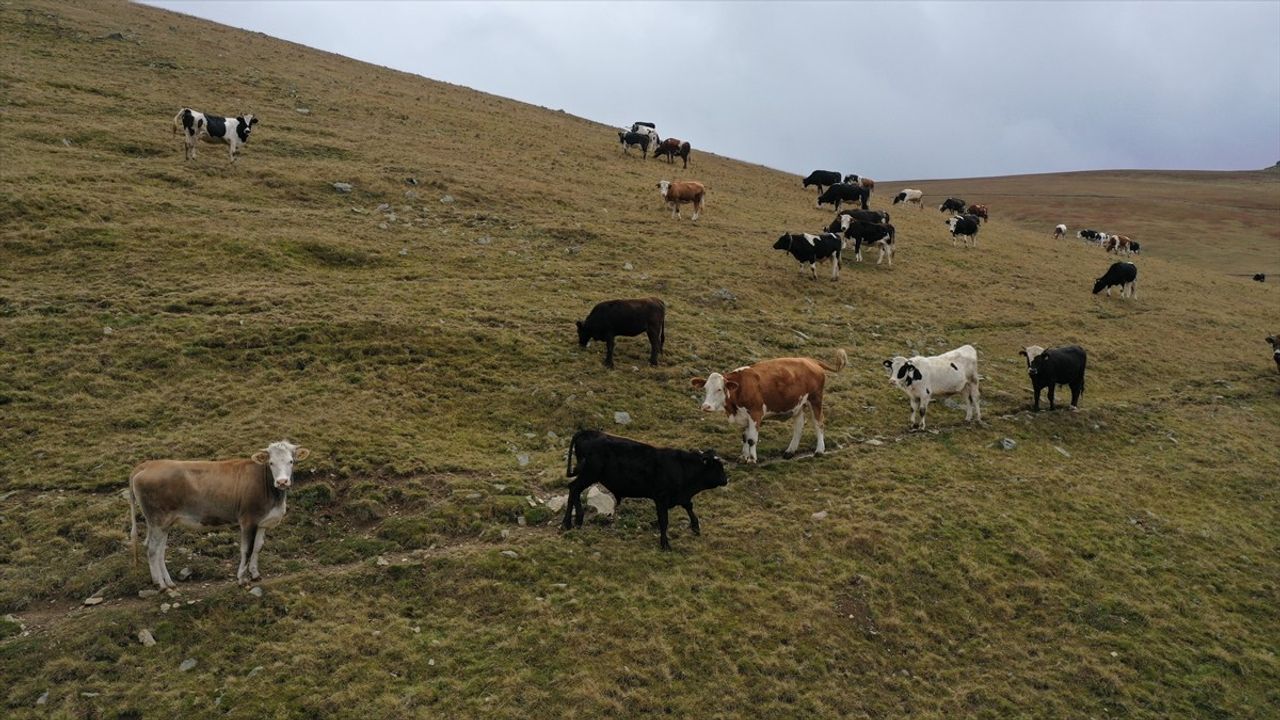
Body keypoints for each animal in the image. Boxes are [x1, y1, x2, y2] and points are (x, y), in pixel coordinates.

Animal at [128, 438, 311, 589]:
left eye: (291, 461)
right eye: (271, 463)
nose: (282, 482)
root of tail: (147, 465)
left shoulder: (262, 522)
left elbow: (258, 547)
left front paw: (255, 574)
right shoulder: (248, 520)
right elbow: (247, 549)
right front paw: (242, 579)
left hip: (163, 523)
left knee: (159, 550)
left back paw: (169, 583)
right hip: (157, 520)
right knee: (152, 549)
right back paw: (160, 585)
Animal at [563, 425, 732, 548]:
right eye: (717, 467)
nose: (725, 480)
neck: (682, 467)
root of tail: (587, 432)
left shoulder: (680, 496)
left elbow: (689, 507)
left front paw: (696, 527)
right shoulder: (661, 498)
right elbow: (664, 521)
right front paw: (665, 544)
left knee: (573, 489)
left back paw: (572, 521)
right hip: (589, 474)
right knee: (574, 489)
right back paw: (572, 521)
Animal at [691, 351, 849, 461]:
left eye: (719, 389)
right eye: (705, 388)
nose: (706, 406)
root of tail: (810, 360)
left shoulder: (755, 413)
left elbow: (752, 439)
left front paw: (752, 459)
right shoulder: (744, 416)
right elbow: (744, 437)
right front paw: (743, 457)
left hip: (815, 400)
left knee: (819, 424)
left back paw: (819, 451)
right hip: (798, 405)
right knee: (799, 427)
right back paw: (790, 451)